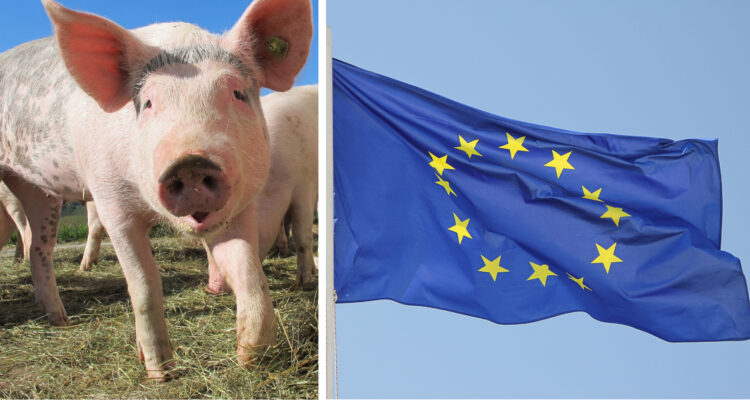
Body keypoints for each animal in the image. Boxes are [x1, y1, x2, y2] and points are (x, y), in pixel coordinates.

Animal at [0, 0, 312, 380]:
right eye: (148, 103)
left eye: (238, 93)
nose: (191, 162)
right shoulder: (110, 201)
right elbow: (145, 286)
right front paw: (161, 373)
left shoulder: (241, 207)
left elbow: (249, 272)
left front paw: (251, 358)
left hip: (36, 188)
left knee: (38, 247)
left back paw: (59, 320)